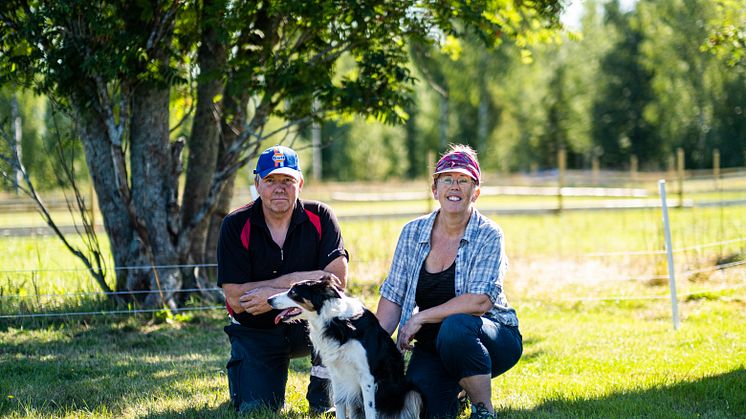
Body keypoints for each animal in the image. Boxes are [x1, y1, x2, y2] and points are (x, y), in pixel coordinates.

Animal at [268, 278, 422, 418]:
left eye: (293, 292)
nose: (269, 300)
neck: (336, 321)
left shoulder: (367, 378)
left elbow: (369, 411)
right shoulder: (337, 375)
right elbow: (339, 406)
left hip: (413, 393)